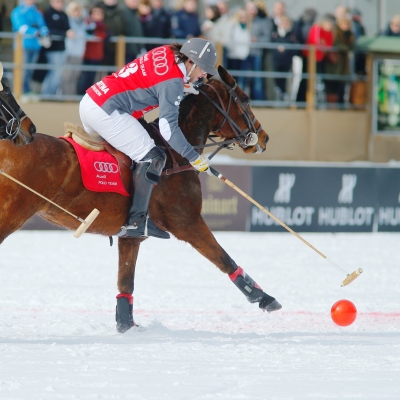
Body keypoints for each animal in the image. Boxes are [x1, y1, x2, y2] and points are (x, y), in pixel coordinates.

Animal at [0, 63, 282, 332]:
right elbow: (223, 258)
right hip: (12, 214)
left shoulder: (131, 236)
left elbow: (126, 281)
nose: (264, 138)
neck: (175, 154)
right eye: (245, 100)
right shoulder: (186, 221)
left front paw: (127, 326)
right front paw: (264, 298)